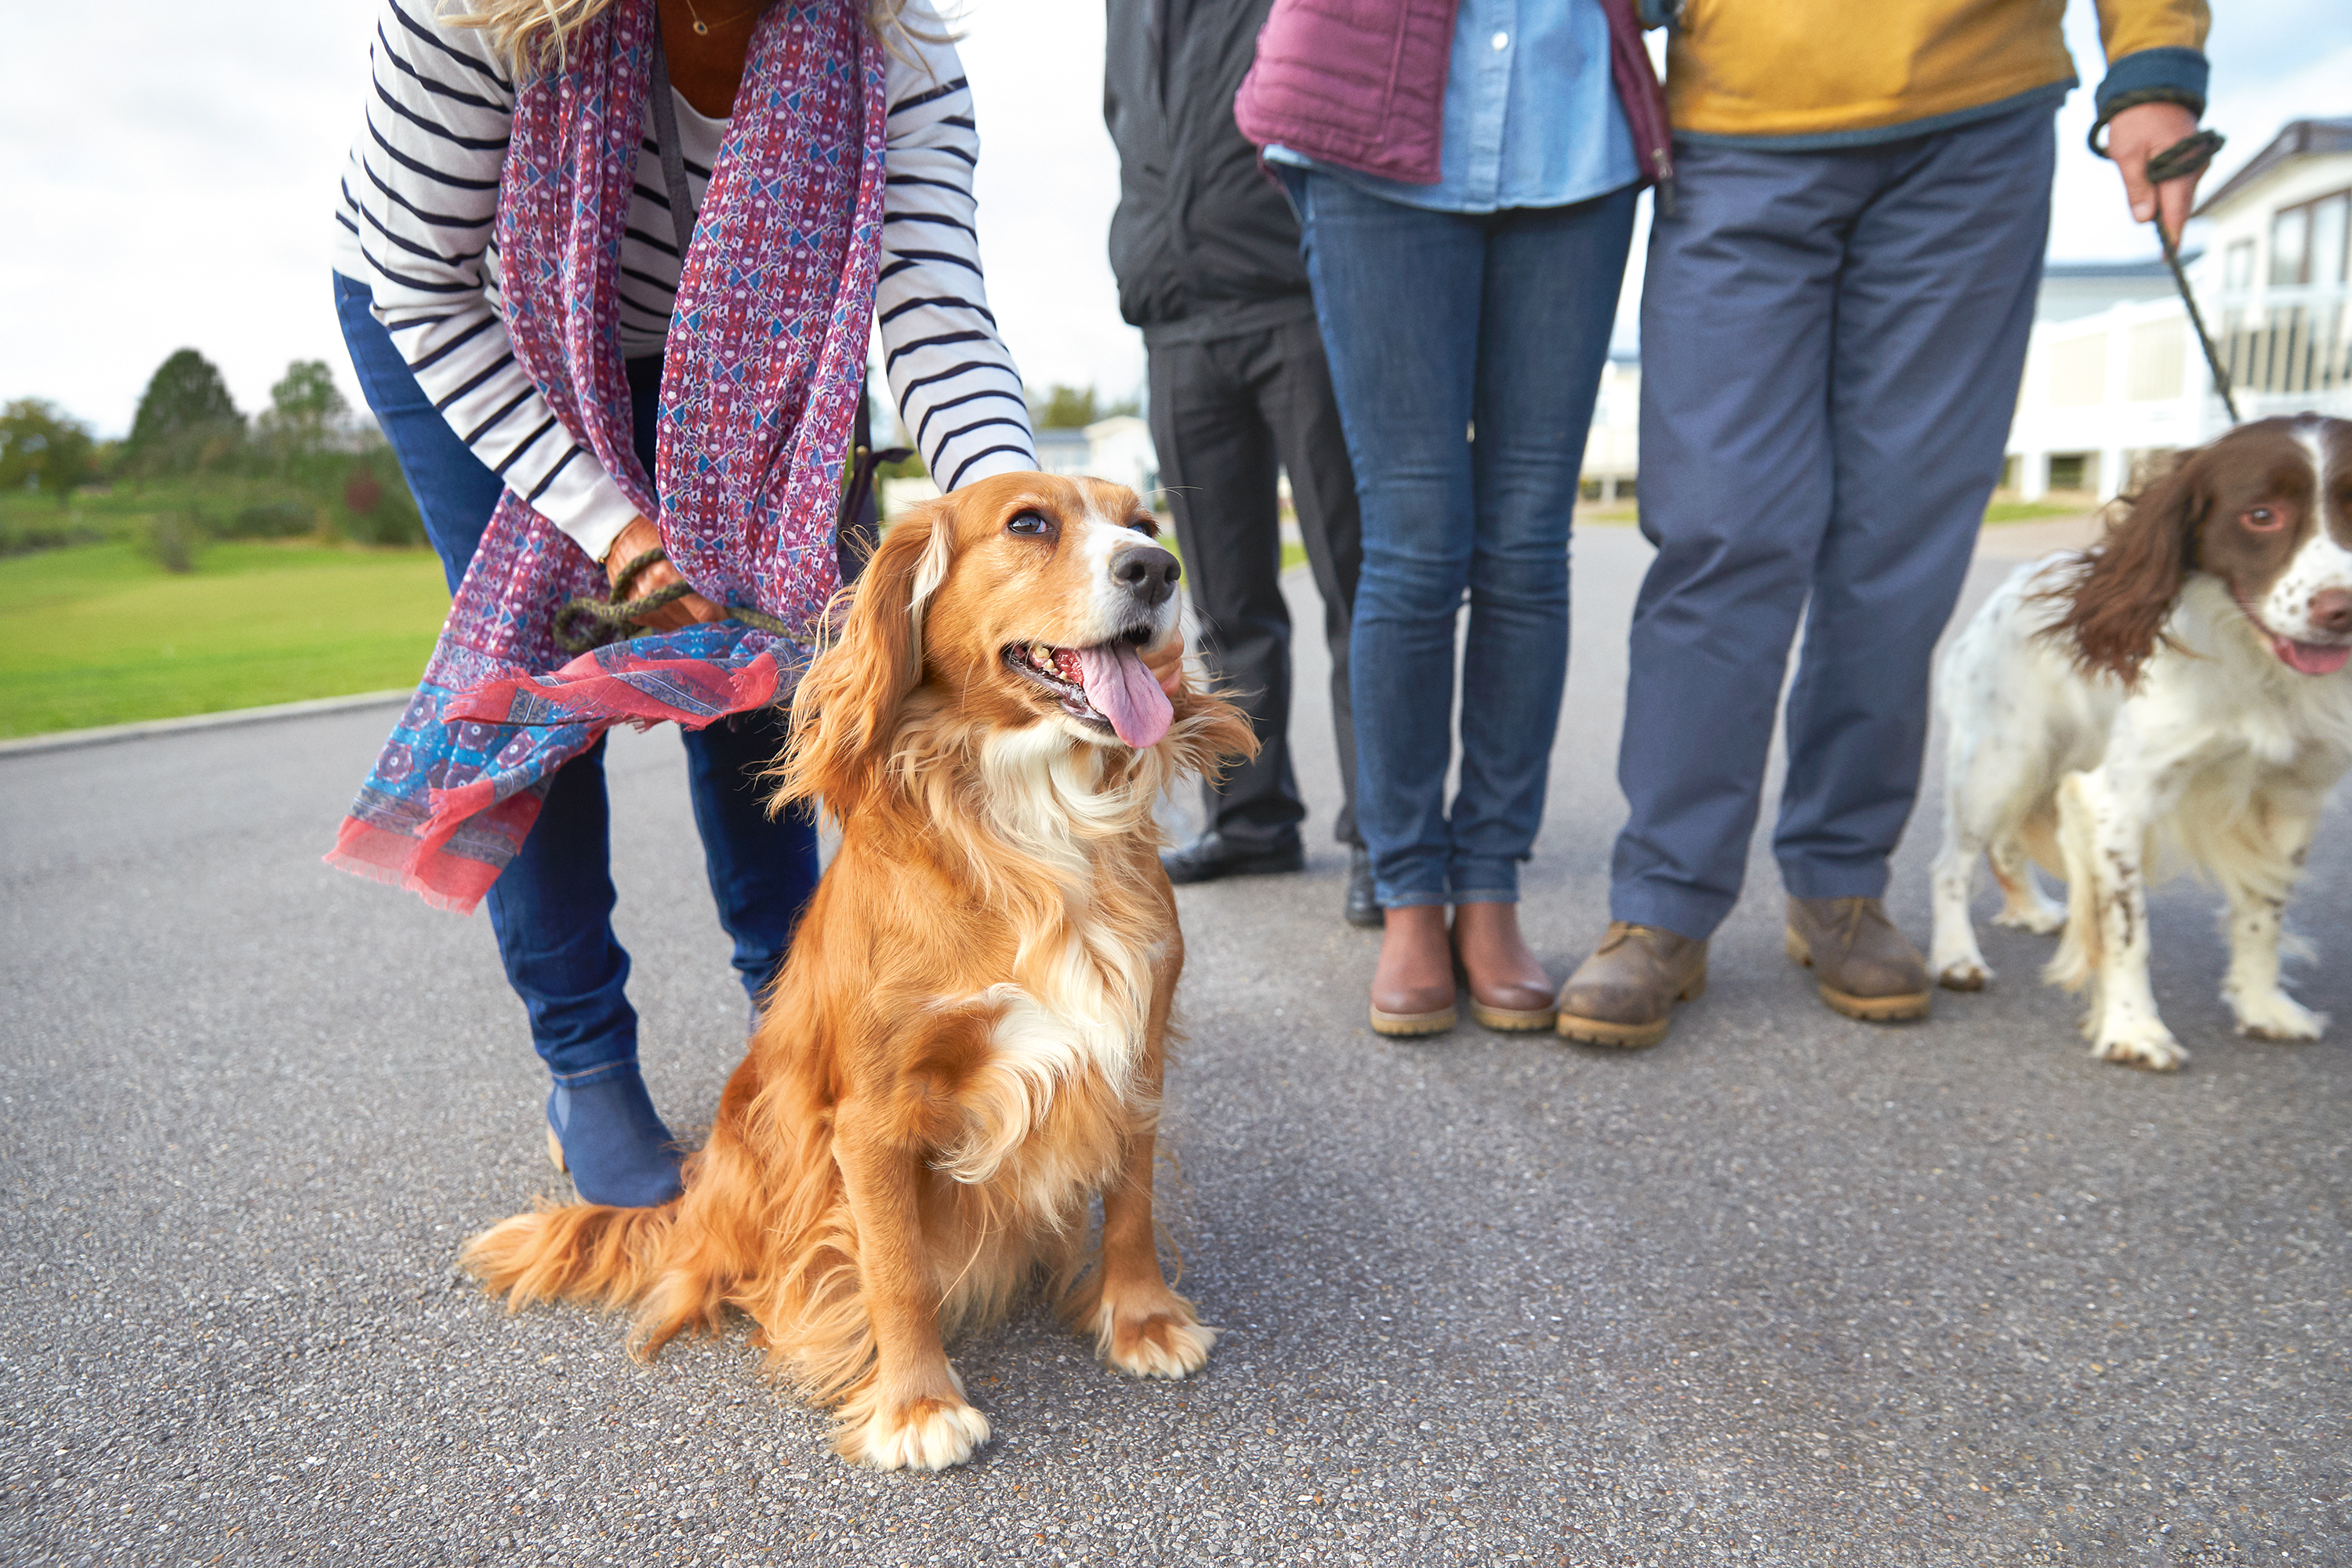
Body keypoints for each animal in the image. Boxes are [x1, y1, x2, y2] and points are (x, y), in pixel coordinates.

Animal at [466, 470, 1261, 1476]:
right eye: (1029, 523)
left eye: (1145, 521)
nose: (1157, 568)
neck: (1036, 820)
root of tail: (696, 1202)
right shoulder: (872, 1116)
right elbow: (896, 1266)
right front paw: (918, 1402)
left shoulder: (1134, 1053)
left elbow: (1131, 1205)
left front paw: (1143, 1319)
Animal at [1929, 416, 2352, 1072]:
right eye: (2261, 516)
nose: (2343, 610)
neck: (2258, 668)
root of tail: (2014, 582)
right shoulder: (2115, 802)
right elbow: (2128, 930)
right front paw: (2133, 1031)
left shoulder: (2289, 803)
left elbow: (2264, 914)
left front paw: (2264, 1008)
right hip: (1999, 764)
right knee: (1952, 865)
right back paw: (1956, 957)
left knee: (2004, 846)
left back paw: (2031, 910)